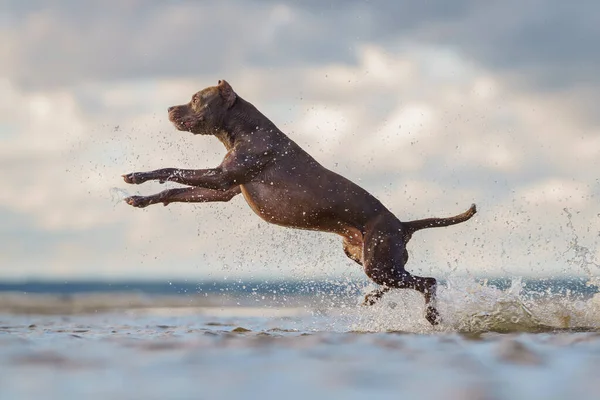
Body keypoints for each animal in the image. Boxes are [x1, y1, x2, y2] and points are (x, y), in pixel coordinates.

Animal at [123, 80, 478, 324]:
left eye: (196, 99)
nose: (169, 109)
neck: (245, 129)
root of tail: (403, 225)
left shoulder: (221, 177)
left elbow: (172, 169)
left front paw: (139, 176)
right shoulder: (224, 189)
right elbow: (172, 191)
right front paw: (141, 198)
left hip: (379, 261)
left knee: (428, 282)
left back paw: (431, 316)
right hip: (367, 258)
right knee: (399, 281)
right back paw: (371, 299)